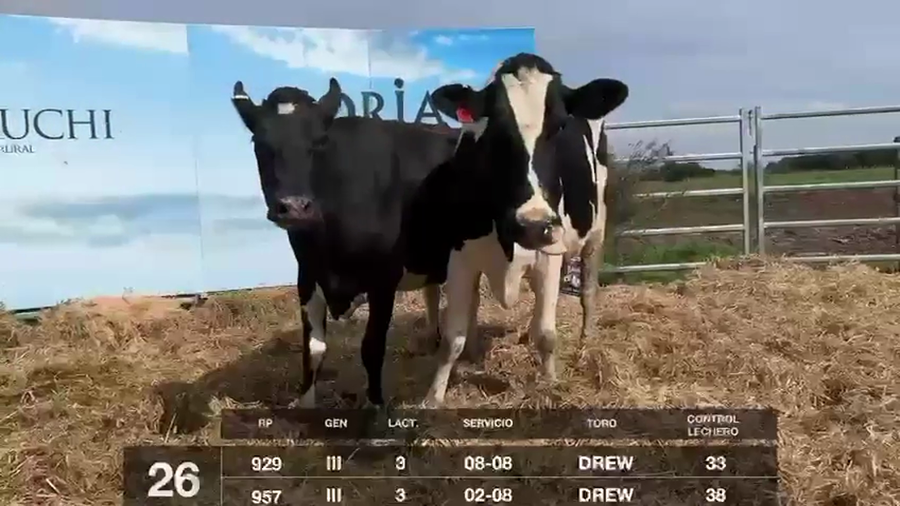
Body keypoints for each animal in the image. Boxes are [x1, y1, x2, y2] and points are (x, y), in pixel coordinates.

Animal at [230, 80, 459, 408]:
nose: (294, 207)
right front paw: (305, 404)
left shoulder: (383, 280)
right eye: (257, 141)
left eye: (320, 141)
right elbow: (313, 349)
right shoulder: (307, 274)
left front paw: (375, 406)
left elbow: (372, 347)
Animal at [403, 53, 629, 407]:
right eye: (494, 129)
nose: (533, 224)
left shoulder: (550, 253)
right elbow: (453, 337)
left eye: (560, 126)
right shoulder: (460, 258)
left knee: (588, 293)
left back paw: (585, 341)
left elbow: (547, 334)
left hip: (595, 231)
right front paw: (434, 396)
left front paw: (549, 384)